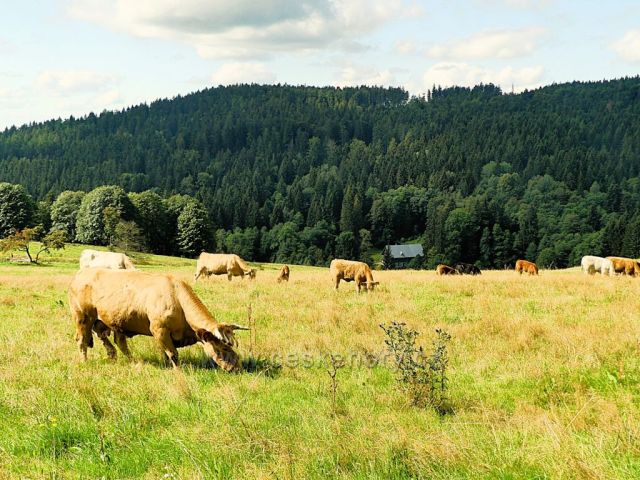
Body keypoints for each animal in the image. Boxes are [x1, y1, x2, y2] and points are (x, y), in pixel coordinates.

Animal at [69, 270, 248, 372]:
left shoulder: (163, 334)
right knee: (82, 340)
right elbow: (173, 354)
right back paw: (85, 361)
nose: (237, 367)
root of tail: (80, 275)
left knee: (114, 341)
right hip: (83, 317)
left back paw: (130, 360)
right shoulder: (159, 329)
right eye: (223, 348)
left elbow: (164, 352)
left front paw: (166, 366)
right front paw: (178, 372)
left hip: (109, 321)